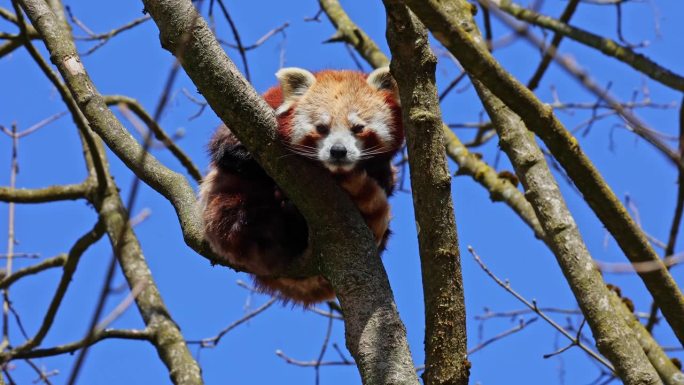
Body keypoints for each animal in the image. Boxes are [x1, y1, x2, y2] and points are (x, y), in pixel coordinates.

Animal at [198, 67, 404, 306]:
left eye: (358, 128)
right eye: (321, 128)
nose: (338, 151)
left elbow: (386, 181)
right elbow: (226, 152)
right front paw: (245, 156)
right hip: (228, 210)